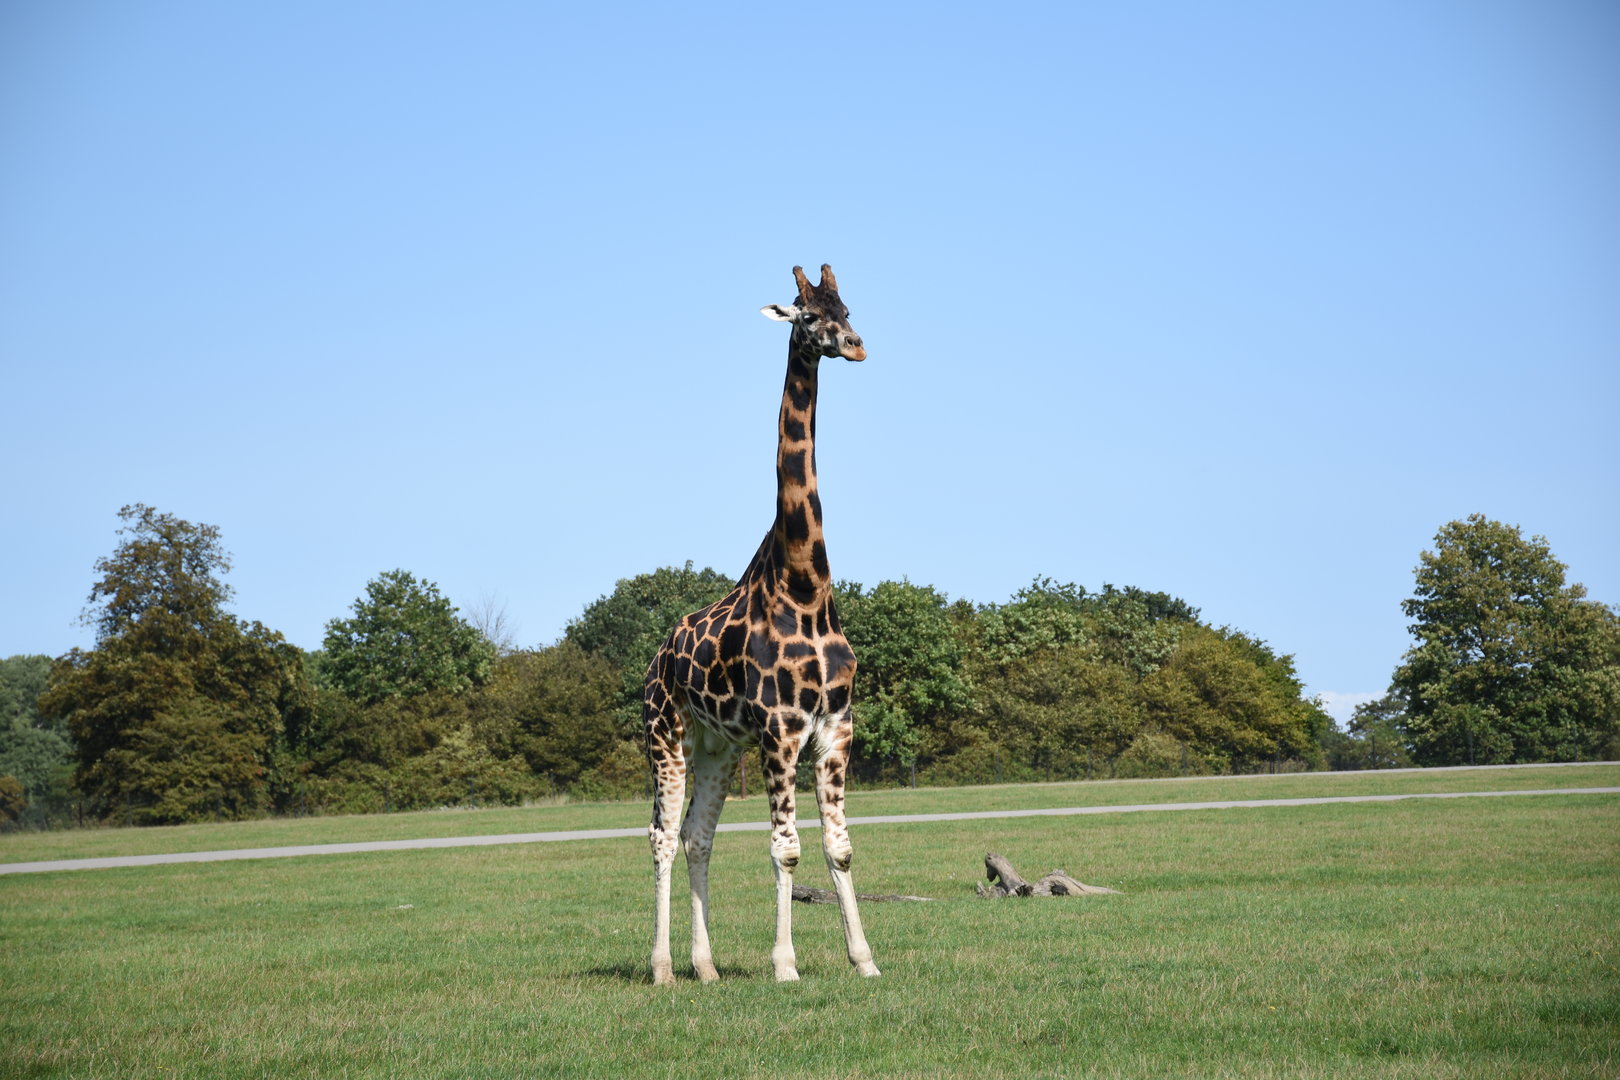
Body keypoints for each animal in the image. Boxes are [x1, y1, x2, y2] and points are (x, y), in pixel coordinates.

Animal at [643, 263, 880, 986]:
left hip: (715, 746)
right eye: (805, 315)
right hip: (663, 733)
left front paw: (864, 960)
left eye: (846, 307)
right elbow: (786, 849)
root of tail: (656, 656)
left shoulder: (835, 730)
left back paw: (705, 967)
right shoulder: (781, 730)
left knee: (696, 837)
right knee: (661, 838)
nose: (856, 345)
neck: (807, 585)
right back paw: (662, 968)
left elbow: (839, 848)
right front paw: (785, 964)